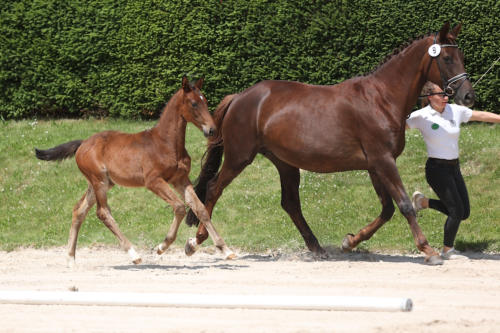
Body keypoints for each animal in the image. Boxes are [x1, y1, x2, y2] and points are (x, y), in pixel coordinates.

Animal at [36, 76, 235, 266]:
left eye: (205, 101)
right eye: (194, 103)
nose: (212, 129)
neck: (166, 143)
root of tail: (82, 143)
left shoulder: (181, 180)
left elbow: (200, 209)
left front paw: (225, 249)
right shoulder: (153, 181)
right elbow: (179, 207)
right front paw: (161, 247)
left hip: (101, 183)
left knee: (79, 211)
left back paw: (70, 258)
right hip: (99, 181)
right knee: (103, 213)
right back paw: (134, 254)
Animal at [186, 22, 474, 264]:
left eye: (461, 56)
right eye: (447, 58)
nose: (468, 96)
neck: (381, 98)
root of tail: (240, 97)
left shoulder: (375, 165)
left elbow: (387, 209)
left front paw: (350, 242)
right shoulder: (383, 160)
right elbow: (403, 204)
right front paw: (428, 250)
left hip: (285, 163)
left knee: (290, 203)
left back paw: (317, 248)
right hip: (239, 157)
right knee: (213, 188)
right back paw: (197, 241)